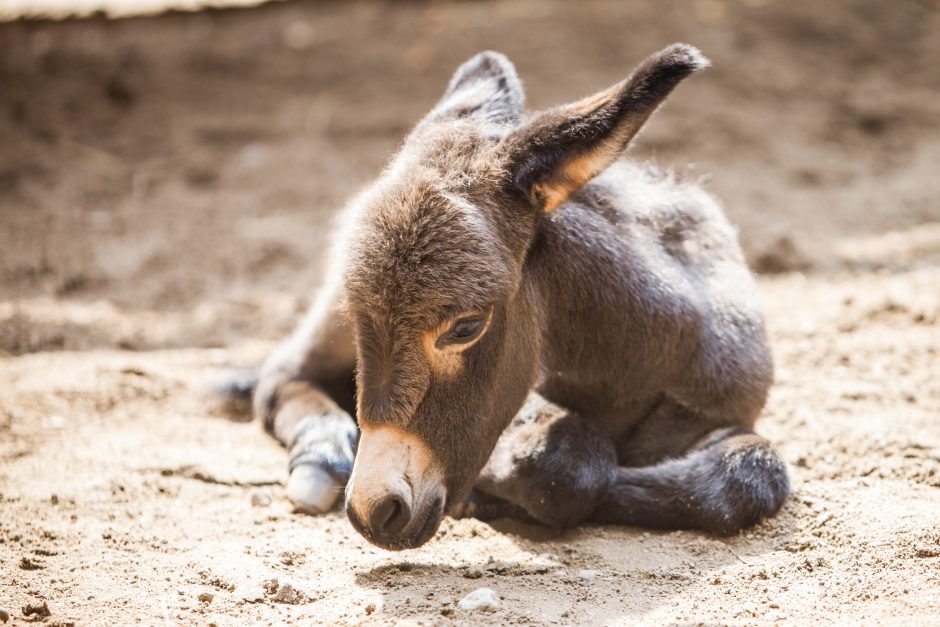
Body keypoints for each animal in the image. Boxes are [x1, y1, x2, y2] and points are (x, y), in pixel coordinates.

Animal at [248, 43, 784, 548]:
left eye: (466, 327)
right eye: (359, 315)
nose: (372, 510)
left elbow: (754, 476)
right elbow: (570, 461)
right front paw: (490, 492)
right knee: (282, 375)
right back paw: (320, 460)